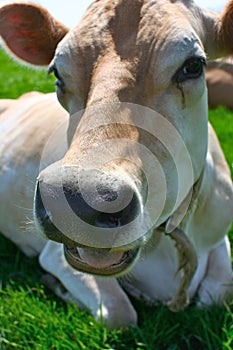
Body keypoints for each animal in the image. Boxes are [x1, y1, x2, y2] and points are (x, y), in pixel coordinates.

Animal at [0, 0, 233, 328]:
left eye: (194, 66)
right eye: (57, 73)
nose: (78, 200)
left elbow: (217, 295)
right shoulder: (56, 255)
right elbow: (120, 314)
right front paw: (58, 287)